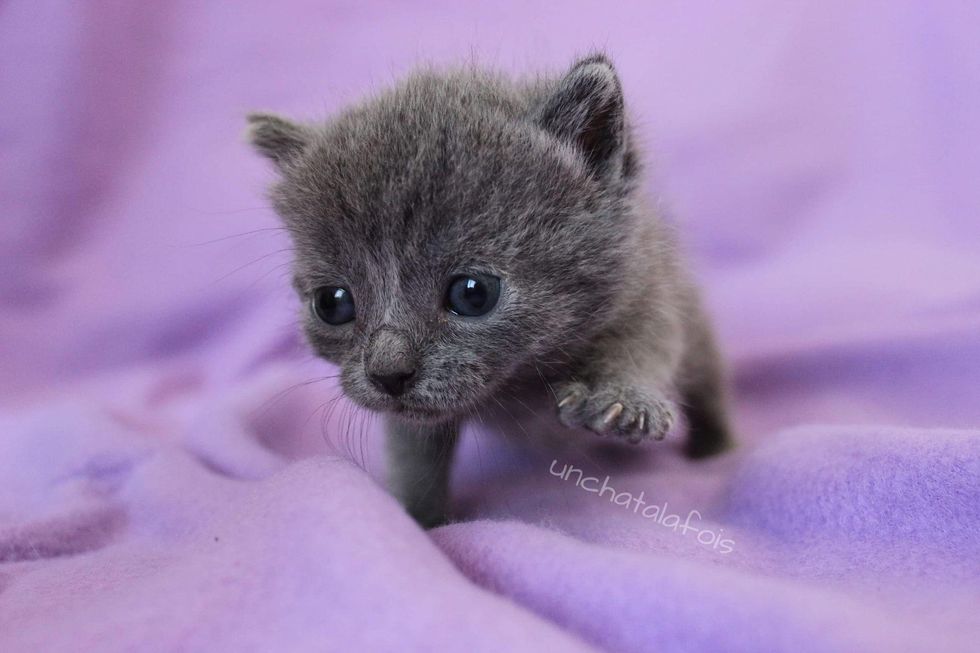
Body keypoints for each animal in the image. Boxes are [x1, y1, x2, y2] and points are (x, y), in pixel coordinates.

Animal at [249, 53, 732, 528]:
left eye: (472, 293)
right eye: (333, 303)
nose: (387, 373)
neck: (519, 382)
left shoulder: (646, 289)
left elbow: (644, 344)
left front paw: (624, 397)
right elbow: (415, 455)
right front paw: (419, 522)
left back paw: (717, 448)